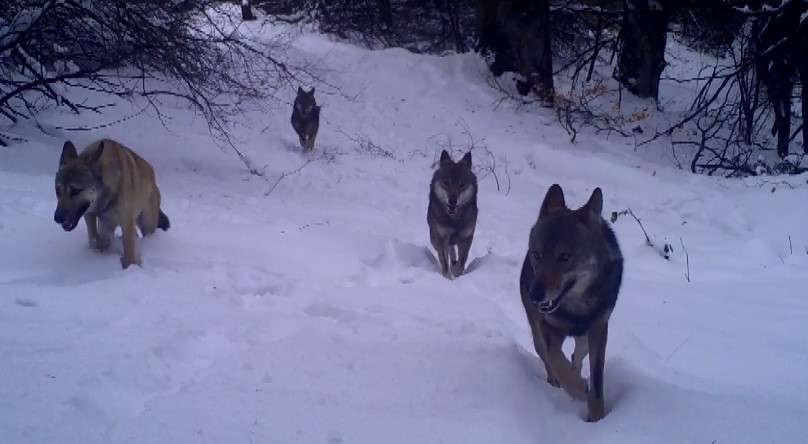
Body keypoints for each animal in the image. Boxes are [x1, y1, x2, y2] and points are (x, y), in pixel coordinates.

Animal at [53, 139, 170, 268]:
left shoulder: (126, 223)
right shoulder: (92, 216)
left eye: (75, 191)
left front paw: (130, 268)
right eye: (58, 191)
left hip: (147, 223)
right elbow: (95, 240)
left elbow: (129, 256)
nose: (57, 218)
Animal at [426, 151, 476, 280]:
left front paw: (457, 272)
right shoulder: (441, 238)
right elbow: (444, 262)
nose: (452, 201)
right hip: (434, 238)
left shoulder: (466, 238)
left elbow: (461, 261)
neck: (454, 221)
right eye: (446, 183)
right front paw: (448, 277)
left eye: (462, 185)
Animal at [516, 184, 624, 424]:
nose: (535, 294)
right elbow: (555, 359)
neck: (578, 308)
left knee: (577, 356)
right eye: (537, 255)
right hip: (537, 333)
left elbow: (597, 385)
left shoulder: (599, 329)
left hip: (585, 337)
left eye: (564, 257)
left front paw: (597, 418)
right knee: (549, 359)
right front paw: (576, 387)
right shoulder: (547, 329)